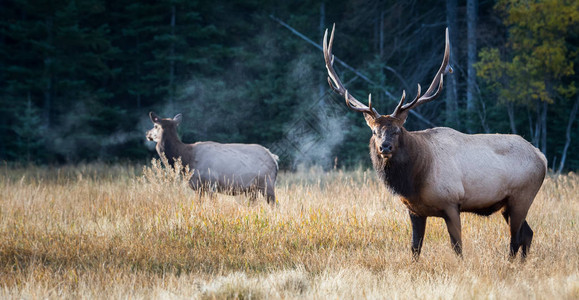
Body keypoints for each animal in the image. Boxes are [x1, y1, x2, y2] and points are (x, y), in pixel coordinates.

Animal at [147, 111, 278, 205]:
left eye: (155, 125)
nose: (147, 134)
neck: (186, 159)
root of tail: (274, 159)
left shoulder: (210, 184)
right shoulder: (200, 188)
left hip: (266, 183)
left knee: (274, 204)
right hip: (253, 189)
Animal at [324, 25, 548, 258]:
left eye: (397, 130)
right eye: (375, 131)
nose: (385, 147)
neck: (415, 179)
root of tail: (542, 157)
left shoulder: (452, 203)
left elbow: (457, 247)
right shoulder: (414, 210)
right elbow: (415, 248)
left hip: (522, 196)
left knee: (516, 239)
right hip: (507, 204)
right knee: (527, 233)